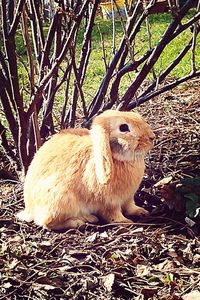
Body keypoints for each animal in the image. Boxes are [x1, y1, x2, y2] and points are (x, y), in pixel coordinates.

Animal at [16, 109, 155, 230]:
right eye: (124, 128)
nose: (152, 137)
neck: (118, 159)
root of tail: (29, 209)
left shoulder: (128, 197)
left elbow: (130, 206)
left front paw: (141, 212)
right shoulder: (109, 202)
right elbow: (113, 214)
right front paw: (126, 222)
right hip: (61, 199)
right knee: (47, 222)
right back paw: (82, 221)